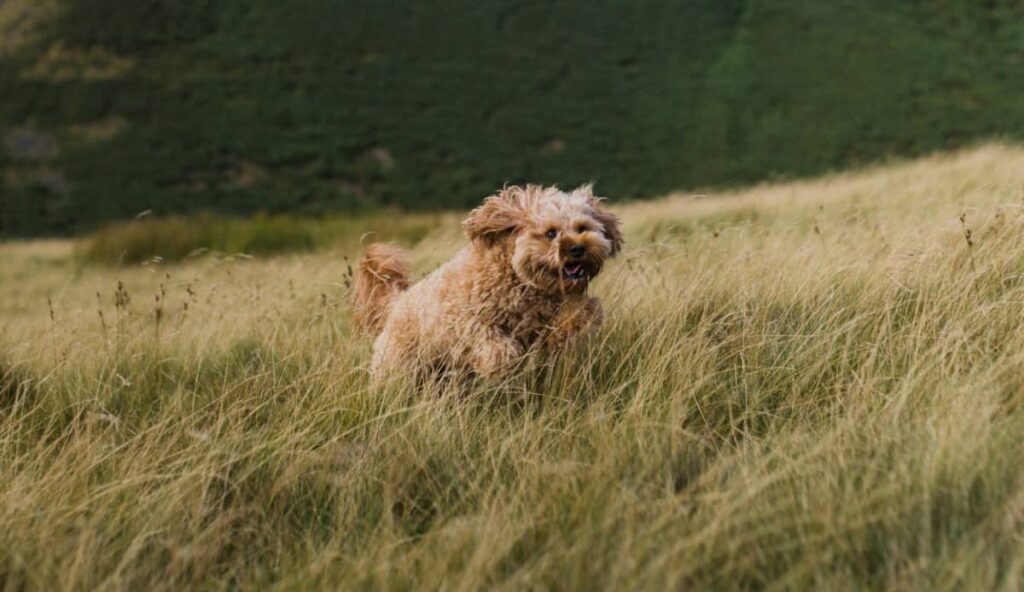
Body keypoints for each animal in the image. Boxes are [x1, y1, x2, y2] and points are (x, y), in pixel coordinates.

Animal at [352, 183, 622, 376]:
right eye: (551, 233)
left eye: (582, 228)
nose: (577, 248)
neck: (516, 279)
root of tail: (395, 304)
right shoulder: (465, 320)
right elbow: (491, 341)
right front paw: (505, 360)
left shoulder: (544, 319)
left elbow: (581, 313)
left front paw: (581, 317)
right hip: (399, 364)